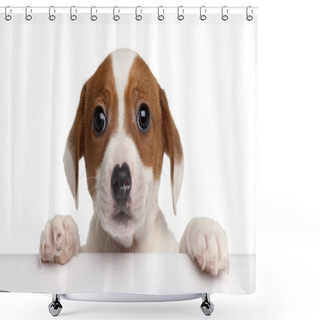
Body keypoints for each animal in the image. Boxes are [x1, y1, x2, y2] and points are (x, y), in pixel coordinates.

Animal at [39, 48, 230, 276]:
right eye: (99, 119)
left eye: (144, 116)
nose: (121, 181)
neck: (128, 247)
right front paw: (61, 229)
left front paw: (205, 232)